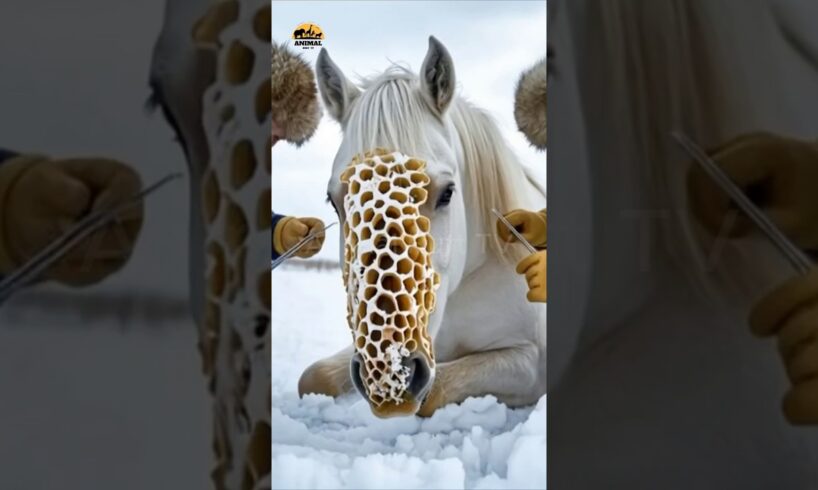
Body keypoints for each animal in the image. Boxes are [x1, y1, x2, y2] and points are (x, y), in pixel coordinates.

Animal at [297, 36, 547, 418]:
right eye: (334, 200)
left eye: (447, 192)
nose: (389, 370)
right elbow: (314, 376)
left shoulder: (531, 362)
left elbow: (436, 390)